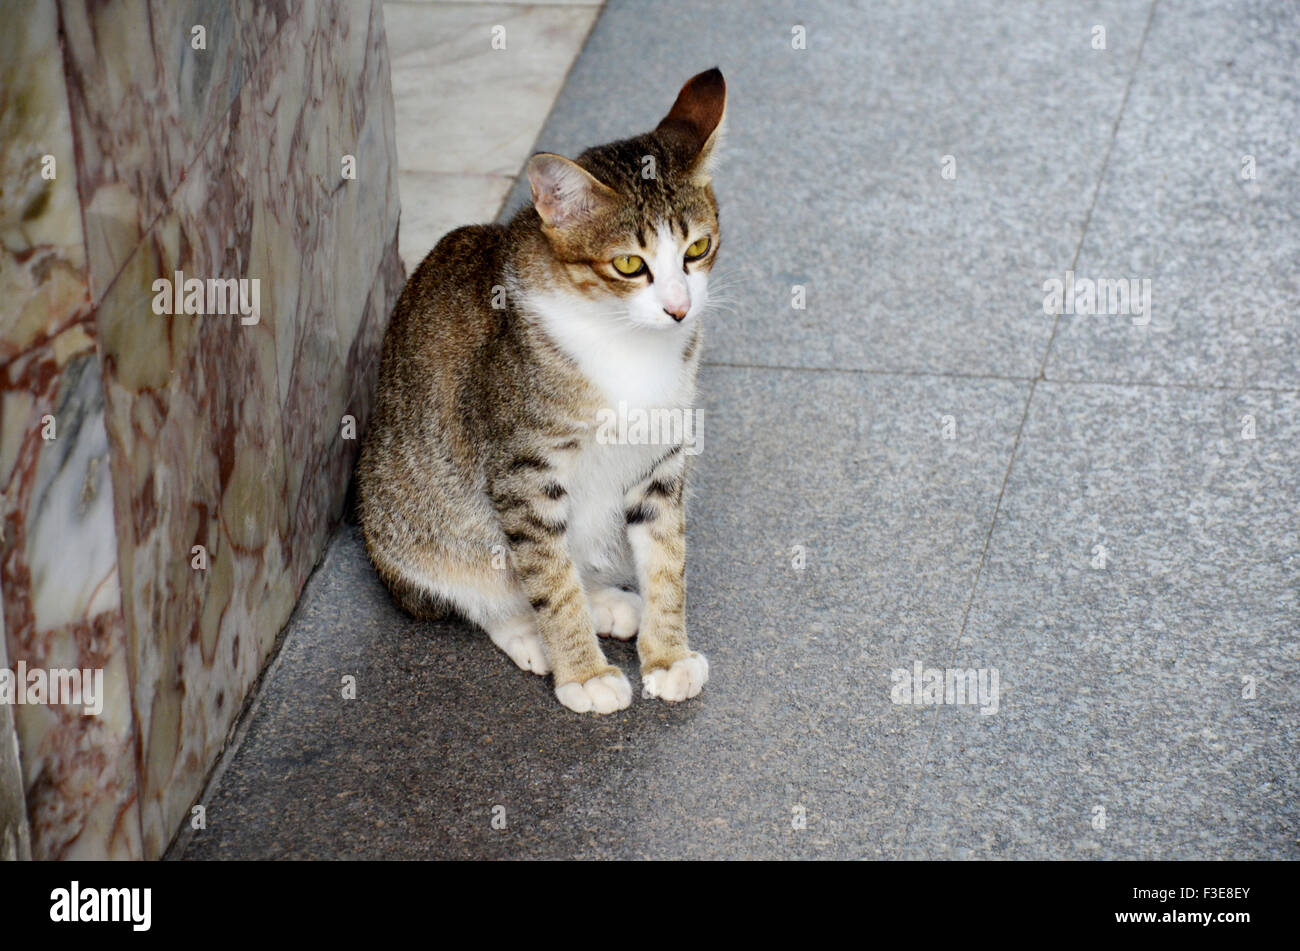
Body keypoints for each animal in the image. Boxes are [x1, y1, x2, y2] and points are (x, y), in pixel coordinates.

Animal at [356, 66, 728, 711]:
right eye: (629, 265)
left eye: (698, 249)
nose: (680, 310)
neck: (625, 343)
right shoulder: (523, 472)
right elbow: (548, 576)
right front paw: (581, 671)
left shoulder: (662, 456)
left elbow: (667, 558)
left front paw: (667, 654)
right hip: (411, 520)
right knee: (484, 584)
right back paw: (529, 631)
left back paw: (606, 600)